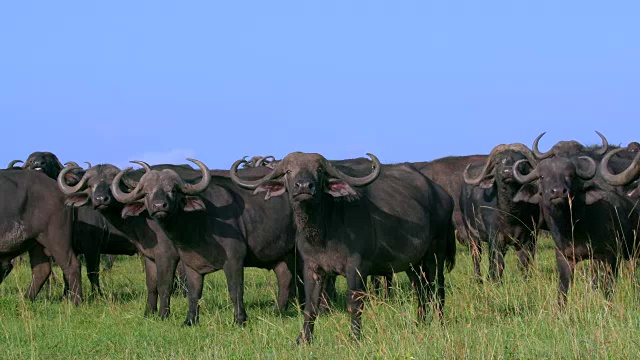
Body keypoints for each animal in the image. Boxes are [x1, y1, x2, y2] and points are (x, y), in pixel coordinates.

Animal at [230, 151, 456, 344]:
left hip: (436, 254)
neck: (324, 232)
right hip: (413, 263)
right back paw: (420, 323)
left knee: (438, 289)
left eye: (319, 171)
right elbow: (310, 306)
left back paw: (440, 323)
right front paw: (303, 339)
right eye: (288, 171)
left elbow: (354, 305)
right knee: (421, 290)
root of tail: (443, 195)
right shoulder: (312, 268)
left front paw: (355, 338)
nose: (304, 187)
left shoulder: (356, 268)